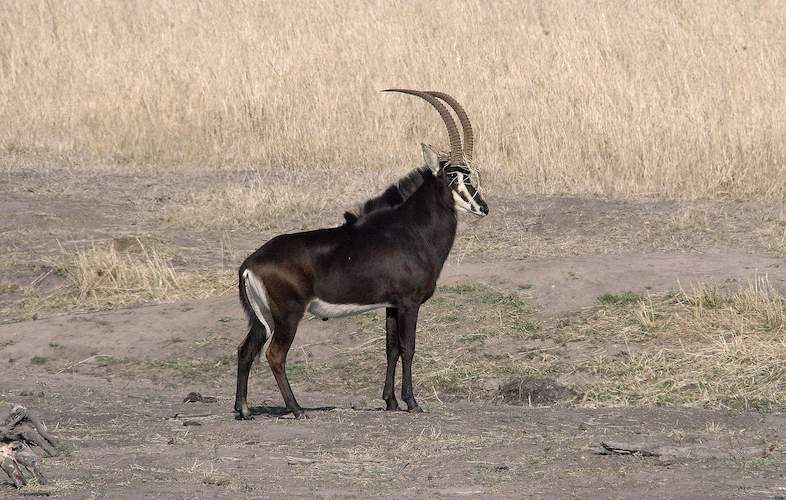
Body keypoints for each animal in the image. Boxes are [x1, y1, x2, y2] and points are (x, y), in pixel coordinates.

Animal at [234, 89, 488, 420]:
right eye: (452, 177)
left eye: (471, 175)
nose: (483, 207)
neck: (411, 229)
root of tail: (250, 263)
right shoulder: (409, 303)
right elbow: (409, 348)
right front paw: (412, 402)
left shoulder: (392, 305)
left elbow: (391, 349)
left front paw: (390, 401)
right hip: (288, 315)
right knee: (275, 354)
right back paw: (297, 409)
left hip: (261, 318)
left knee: (245, 351)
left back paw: (244, 410)